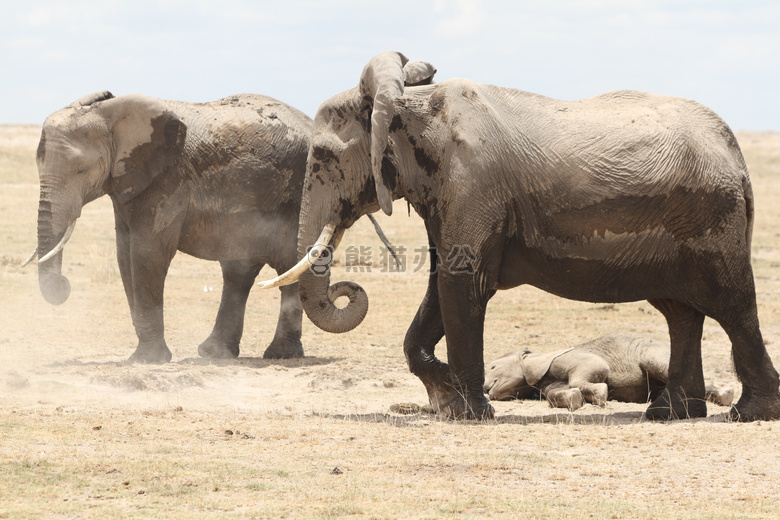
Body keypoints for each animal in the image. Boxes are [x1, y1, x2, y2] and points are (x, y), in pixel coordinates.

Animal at [32, 91, 314, 364]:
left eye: (81, 170)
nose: (64, 284)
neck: (111, 112)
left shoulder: (166, 180)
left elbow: (147, 253)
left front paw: (147, 360)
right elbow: (124, 255)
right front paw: (148, 356)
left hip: (300, 194)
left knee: (289, 266)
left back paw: (280, 354)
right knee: (238, 272)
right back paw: (214, 353)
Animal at [484, 334, 736, 414]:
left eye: (493, 367)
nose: (485, 389)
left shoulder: (567, 359)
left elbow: (596, 366)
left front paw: (600, 395)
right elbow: (554, 394)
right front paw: (576, 399)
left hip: (653, 352)